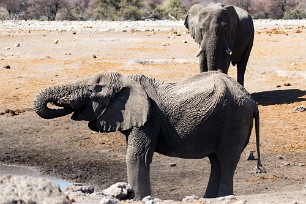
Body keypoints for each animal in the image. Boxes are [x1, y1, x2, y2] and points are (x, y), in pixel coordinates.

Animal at [33, 71, 264, 199]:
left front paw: (137, 197)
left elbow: (136, 156)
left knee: (226, 160)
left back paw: (223, 197)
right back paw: (208, 198)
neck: (127, 79)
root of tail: (252, 101)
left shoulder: (150, 118)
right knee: (216, 161)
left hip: (233, 122)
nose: (63, 102)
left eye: (94, 89)